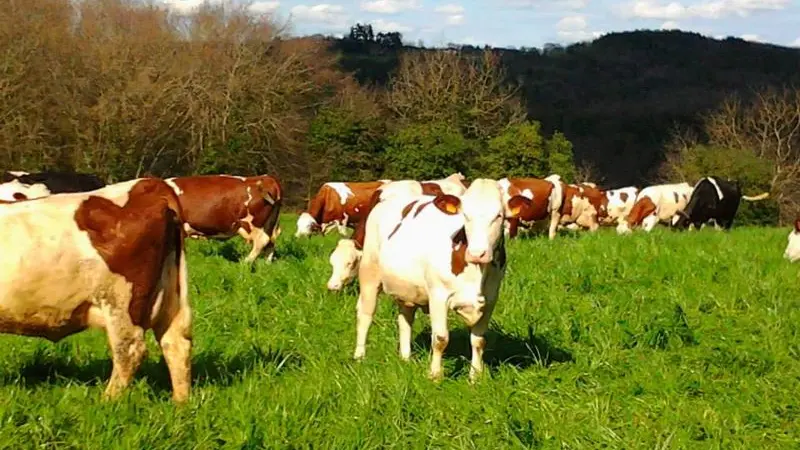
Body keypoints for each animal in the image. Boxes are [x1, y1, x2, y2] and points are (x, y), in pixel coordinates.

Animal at [0, 178, 192, 402]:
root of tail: (150, 184)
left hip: (120, 300)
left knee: (129, 350)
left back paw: (108, 401)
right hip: (170, 296)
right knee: (176, 344)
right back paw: (180, 403)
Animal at [351, 179, 532, 382]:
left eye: (498, 216)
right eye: (465, 216)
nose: (477, 253)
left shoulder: (491, 298)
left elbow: (478, 340)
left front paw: (475, 376)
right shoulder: (438, 296)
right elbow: (440, 339)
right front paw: (435, 375)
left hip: (407, 288)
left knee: (405, 319)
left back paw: (405, 357)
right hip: (369, 272)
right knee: (365, 314)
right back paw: (360, 356)